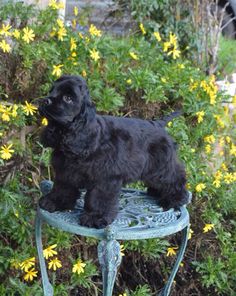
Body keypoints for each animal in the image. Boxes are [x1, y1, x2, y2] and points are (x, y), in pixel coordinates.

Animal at [39, 75, 190, 228]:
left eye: (68, 98)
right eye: (51, 90)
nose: (45, 100)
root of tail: (158, 124)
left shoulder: (106, 178)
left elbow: (98, 198)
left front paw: (95, 217)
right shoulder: (65, 172)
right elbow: (62, 188)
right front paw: (53, 202)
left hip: (161, 166)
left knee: (175, 177)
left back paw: (175, 199)